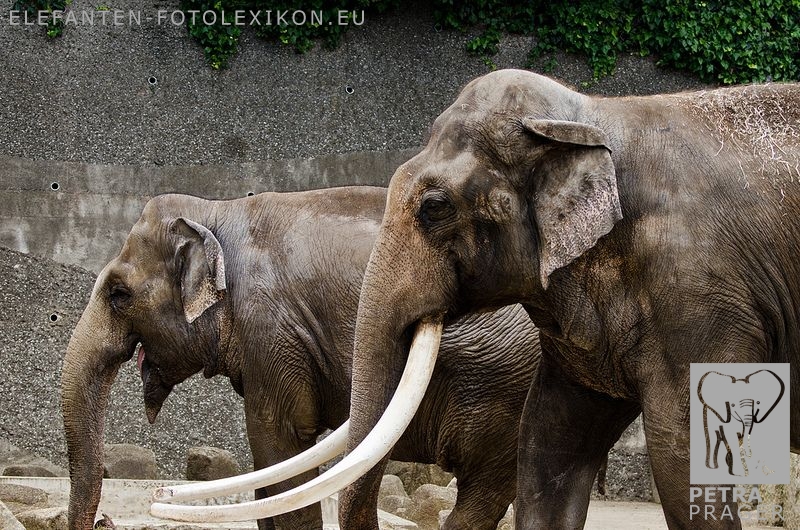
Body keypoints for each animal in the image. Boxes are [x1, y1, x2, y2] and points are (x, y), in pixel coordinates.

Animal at [60, 186, 541, 530]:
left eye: (119, 295)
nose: (105, 521)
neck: (217, 212)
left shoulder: (271, 329)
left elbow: (280, 443)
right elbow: (267, 473)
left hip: (507, 392)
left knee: (485, 493)